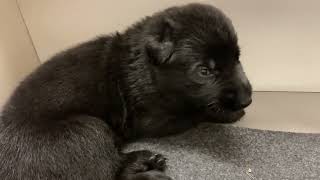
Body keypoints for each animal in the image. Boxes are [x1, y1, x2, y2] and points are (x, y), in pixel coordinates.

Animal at [0, 3, 252, 180]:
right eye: (204, 71)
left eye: (237, 58)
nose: (247, 100)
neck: (144, 66)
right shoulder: (151, 118)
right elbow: (195, 112)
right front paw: (230, 114)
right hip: (88, 129)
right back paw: (146, 168)